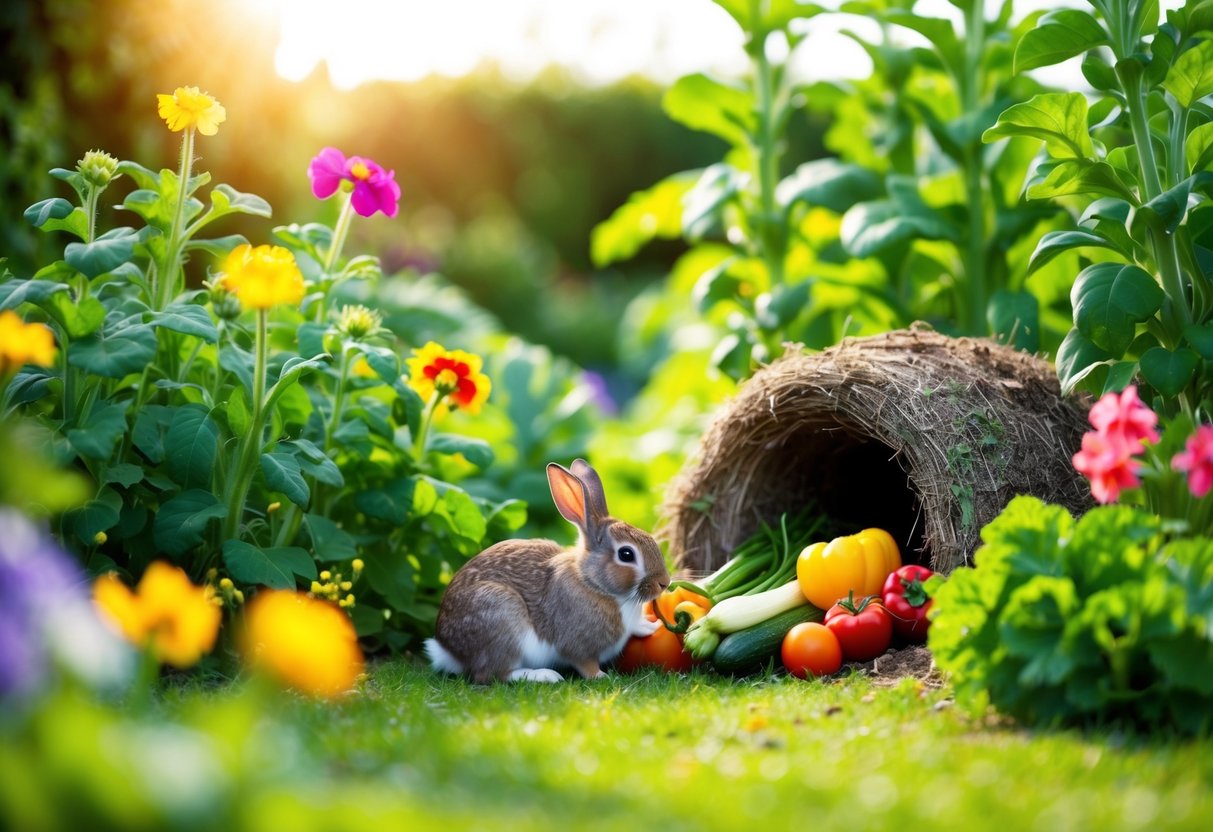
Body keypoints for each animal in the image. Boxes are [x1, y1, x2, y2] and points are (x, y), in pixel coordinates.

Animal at [424, 458, 670, 683]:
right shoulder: (576, 645)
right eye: (626, 554)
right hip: (502, 619)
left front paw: (650, 626)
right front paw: (601, 676)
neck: (593, 583)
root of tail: (447, 649)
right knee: (492, 674)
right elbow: (585, 663)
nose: (664, 583)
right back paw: (545, 676)